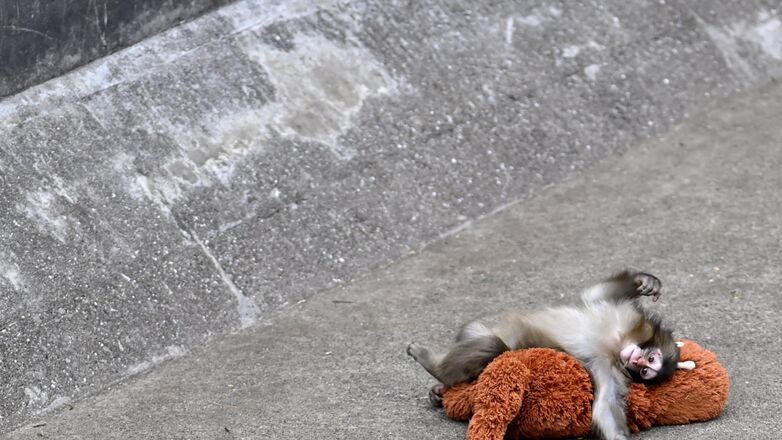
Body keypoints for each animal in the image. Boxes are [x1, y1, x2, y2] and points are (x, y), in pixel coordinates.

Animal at [407, 270, 681, 440]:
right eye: (650, 360)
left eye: (646, 370)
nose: (636, 360)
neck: (617, 344)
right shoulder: (624, 316)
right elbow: (595, 294)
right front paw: (644, 281)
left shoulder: (610, 369)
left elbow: (604, 408)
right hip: (475, 329)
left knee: (492, 346)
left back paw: (436, 372)